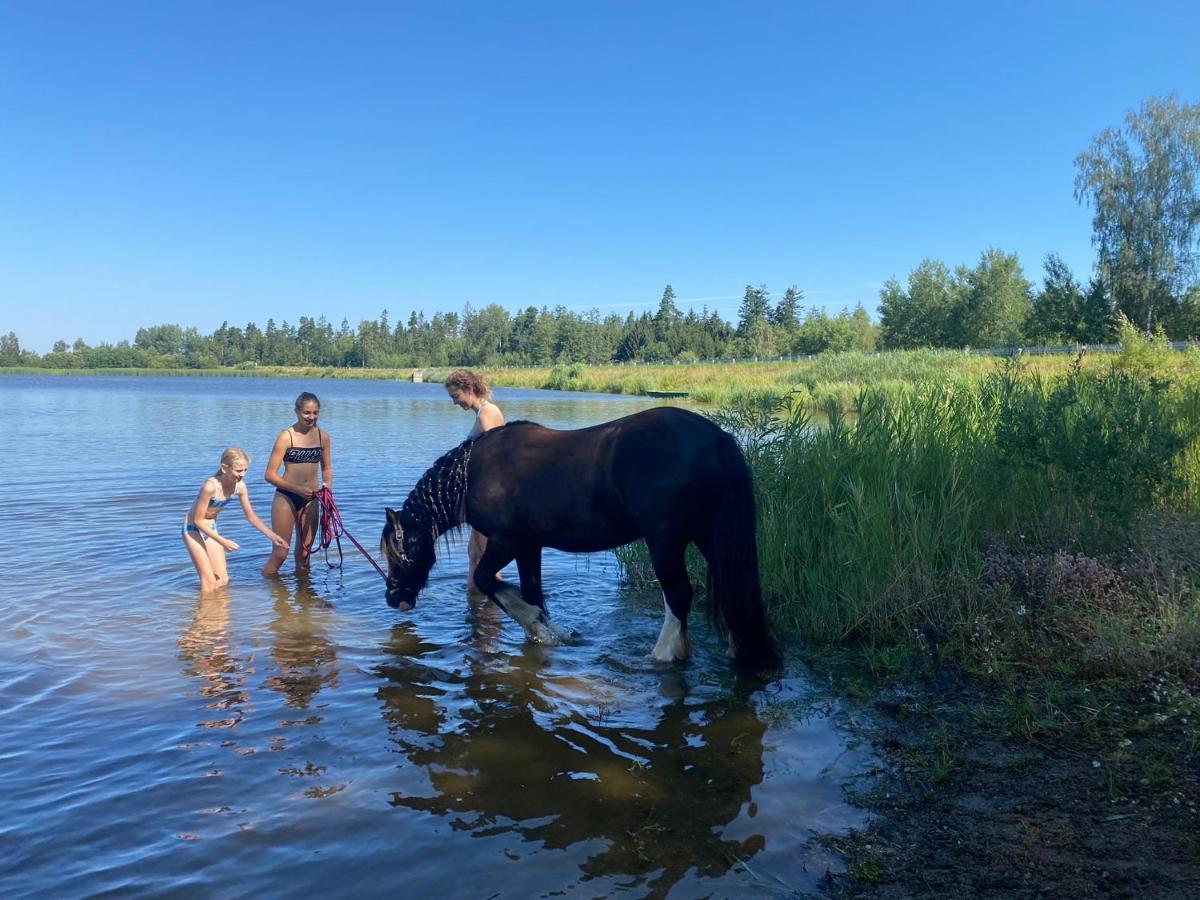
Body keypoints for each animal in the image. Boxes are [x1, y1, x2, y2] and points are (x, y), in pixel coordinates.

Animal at [379, 408, 782, 672]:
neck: (473, 473)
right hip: (707, 535)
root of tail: (714, 436)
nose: (393, 598)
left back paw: (664, 655)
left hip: (665, 540)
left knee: (679, 594)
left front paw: (536, 624)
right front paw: (551, 632)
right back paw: (741, 650)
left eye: (395, 552)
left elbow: (486, 580)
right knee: (734, 587)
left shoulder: (505, 541)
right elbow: (533, 591)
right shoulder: (529, 545)